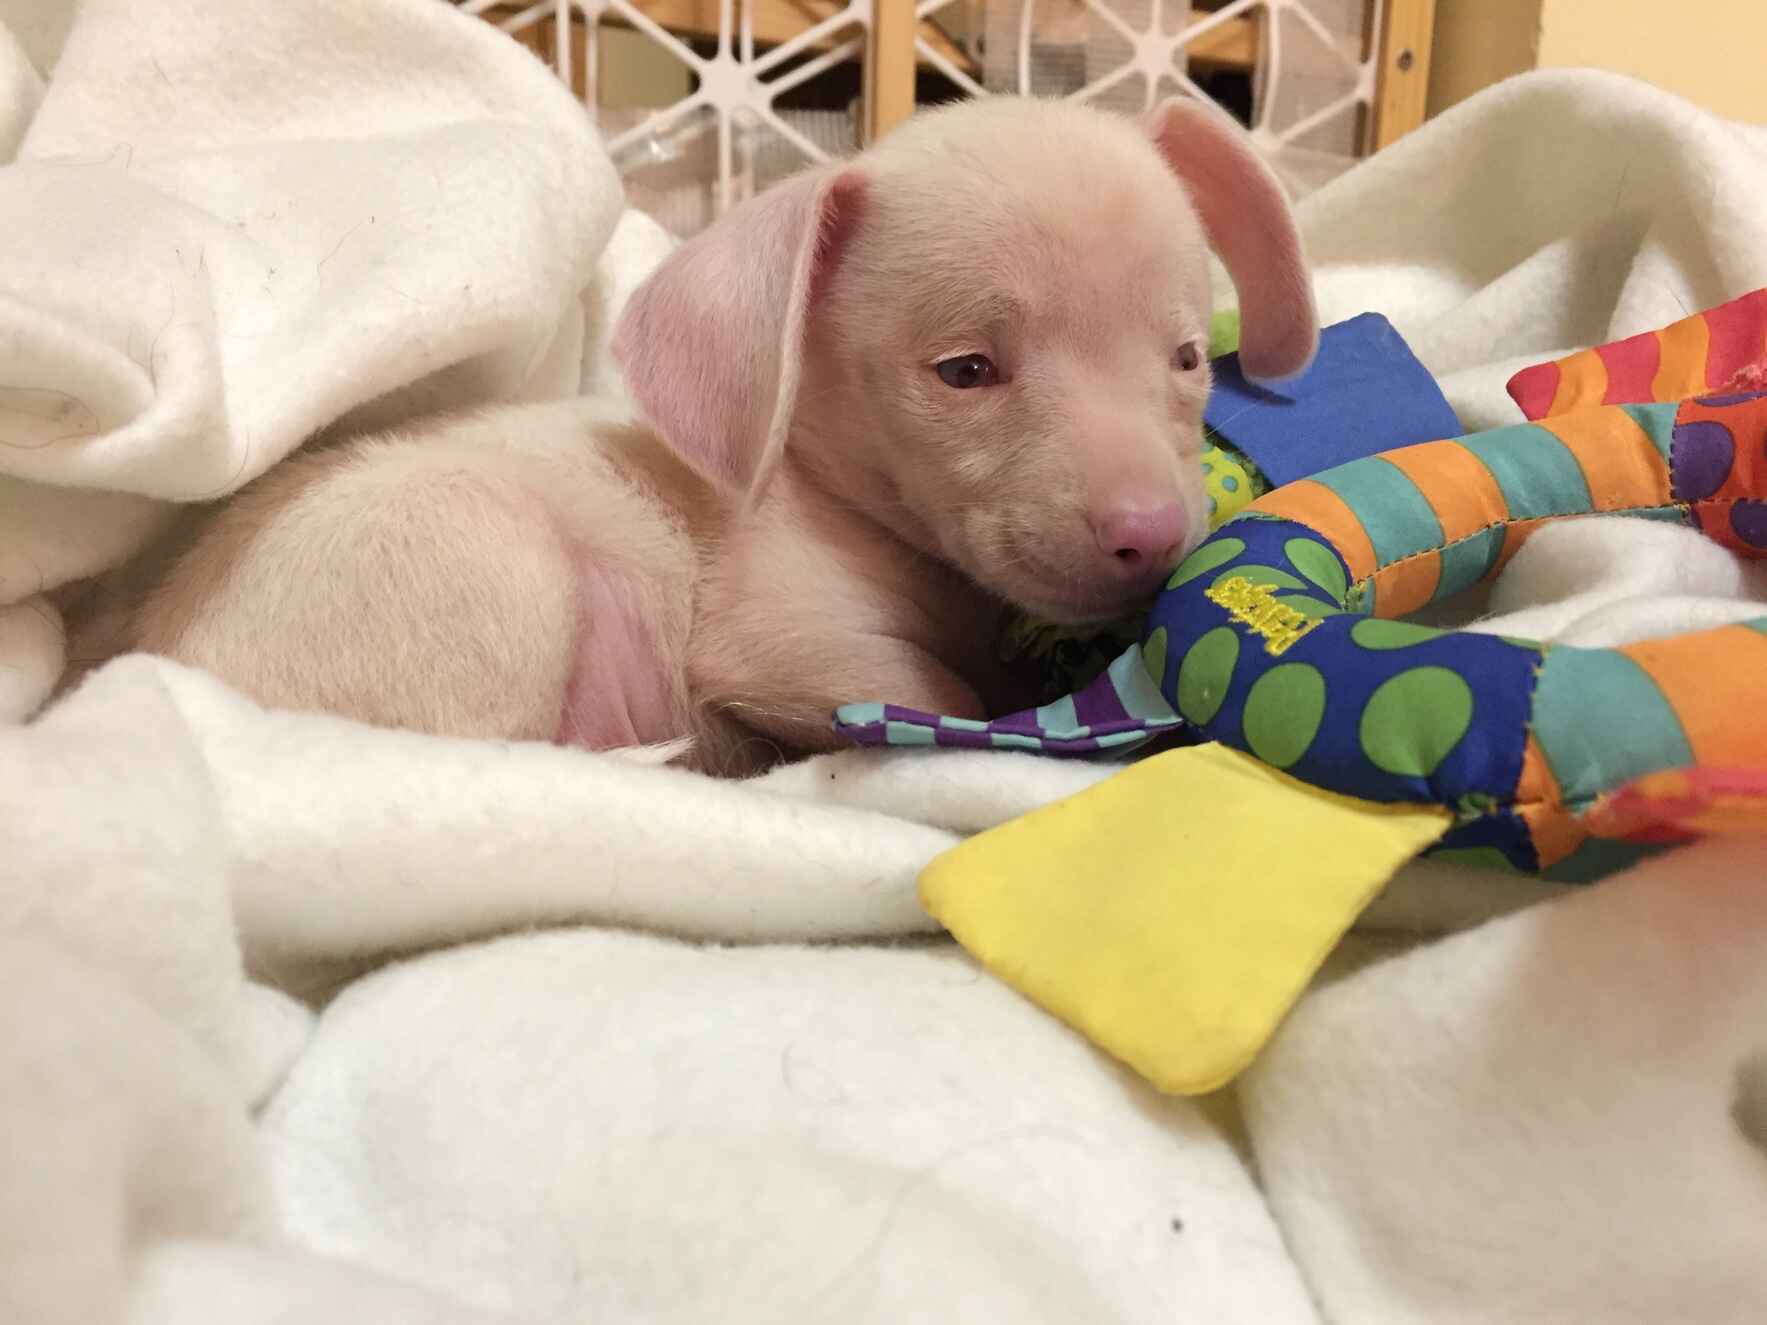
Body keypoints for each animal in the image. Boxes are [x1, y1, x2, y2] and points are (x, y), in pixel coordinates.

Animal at [131, 94, 1317, 775]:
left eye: (1187, 358)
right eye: (964, 371)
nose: (1150, 537)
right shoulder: (788, 638)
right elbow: (936, 699)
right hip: (481, 567)